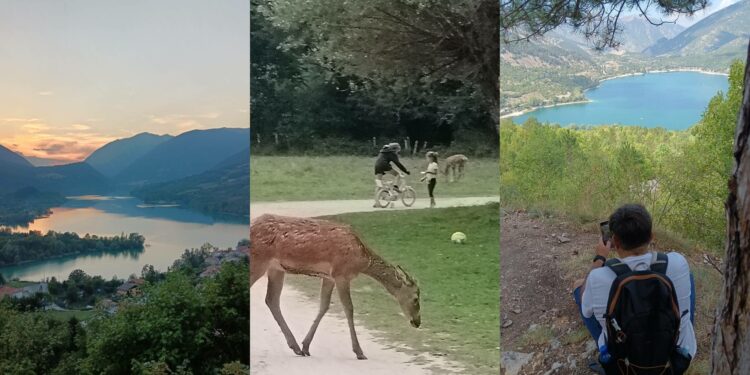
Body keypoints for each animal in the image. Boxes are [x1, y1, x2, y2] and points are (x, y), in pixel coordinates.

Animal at [253, 214, 424, 362]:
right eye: (416, 298)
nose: (417, 322)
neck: (361, 260)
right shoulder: (342, 274)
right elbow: (349, 308)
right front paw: (359, 352)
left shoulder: (329, 277)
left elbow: (324, 306)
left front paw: (306, 346)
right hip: (259, 261)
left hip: (276, 269)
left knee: (272, 300)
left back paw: (295, 346)